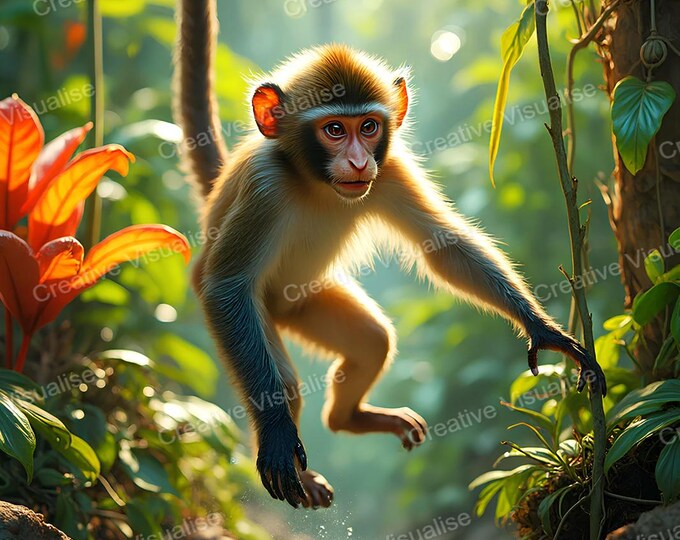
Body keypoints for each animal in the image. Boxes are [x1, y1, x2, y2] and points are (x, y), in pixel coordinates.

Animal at [174, 0, 606, 510]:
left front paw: (544, 330)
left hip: (304, 302)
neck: (312, 182)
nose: (360, 161)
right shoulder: (265, 182)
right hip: (259, 318)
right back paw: (299, 450)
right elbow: (227, 287)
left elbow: (441, 244)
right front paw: (278, 434)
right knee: (285, 377)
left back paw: (350, 419)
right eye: (334, 129)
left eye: (369, 127)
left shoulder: (391, 166)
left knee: (372, 339)